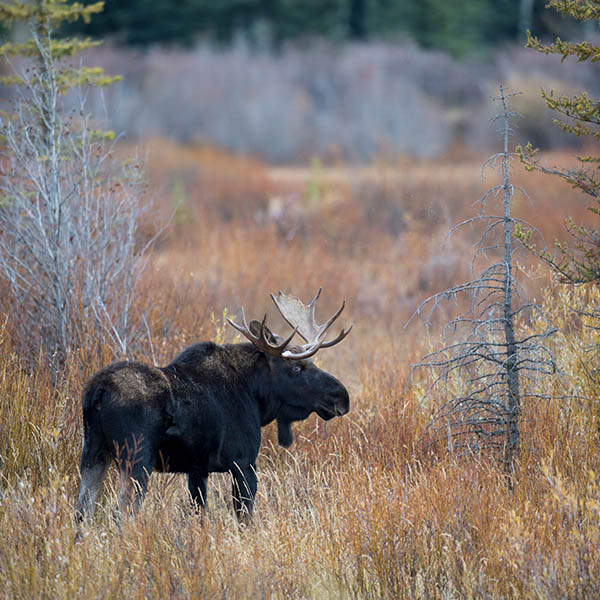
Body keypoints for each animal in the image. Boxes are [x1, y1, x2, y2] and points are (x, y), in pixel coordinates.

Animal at [75, 290, 352, 520]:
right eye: (296, 367)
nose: (341, 396)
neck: (256, 397)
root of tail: (96, 392)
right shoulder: (243, 462)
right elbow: (245, 518)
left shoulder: (197, 470)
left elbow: (200, 516)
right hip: (136, 460)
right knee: (121, 515)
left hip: (93, 454)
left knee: (82, 513)